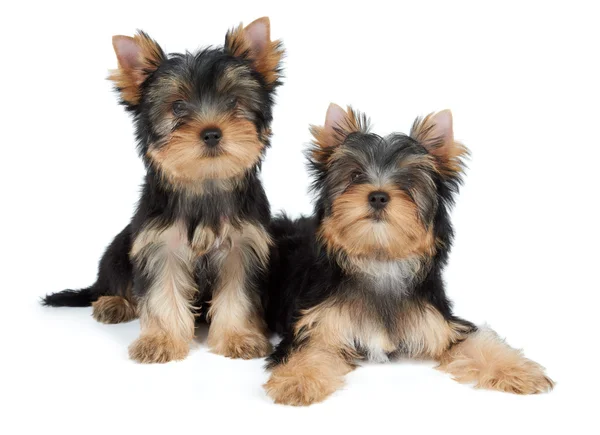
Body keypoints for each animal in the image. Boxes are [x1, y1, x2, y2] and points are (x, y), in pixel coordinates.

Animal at [43, 17, 284, 364]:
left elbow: (238, 292)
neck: (204, 183)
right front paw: (161, 340)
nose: (212, 133)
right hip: (120, 248)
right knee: (113, 280)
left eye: (233, 102)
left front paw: (239, 337)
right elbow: (162, 290)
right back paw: (113, 302)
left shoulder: (243, 246)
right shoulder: (159, 244)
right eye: (178, 107)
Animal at [262, 104, 552, 406]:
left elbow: (476, 342)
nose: (378, 196)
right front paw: (297, 380)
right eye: (355, 176)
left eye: (409, 180)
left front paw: (518, 370)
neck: (379, 259)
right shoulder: (314, 325)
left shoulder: (441, 324)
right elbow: (307, 349)